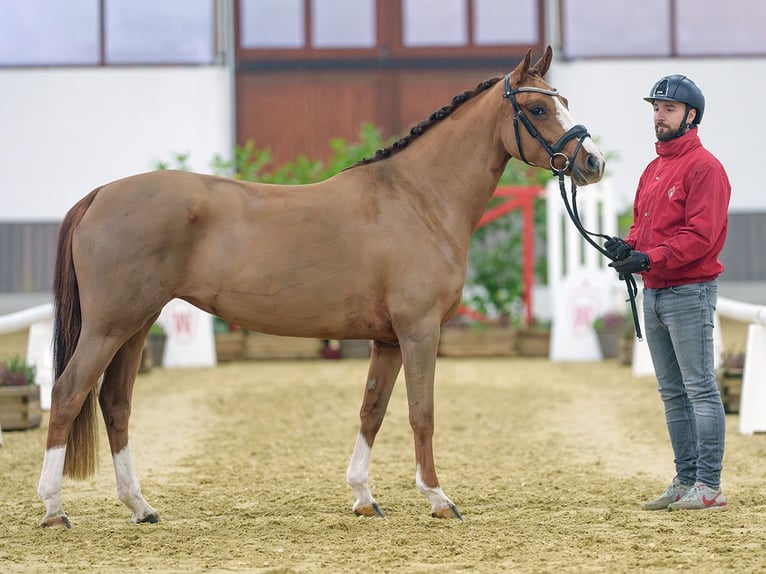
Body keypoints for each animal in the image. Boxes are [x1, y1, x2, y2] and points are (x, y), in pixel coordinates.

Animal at [39, 47, 608, 528]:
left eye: (562, 102)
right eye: (537, 108)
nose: (593, 164)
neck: (418, 199)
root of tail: (100, 194)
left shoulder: (387, 339)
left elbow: (372, 411)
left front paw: (363, 496)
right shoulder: (419, 331)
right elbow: (420, 413)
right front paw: (438, 498)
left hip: (137, 325)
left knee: (115, 403)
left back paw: (140, 507)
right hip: (110, 326)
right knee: (68, 393)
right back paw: (53, 509)